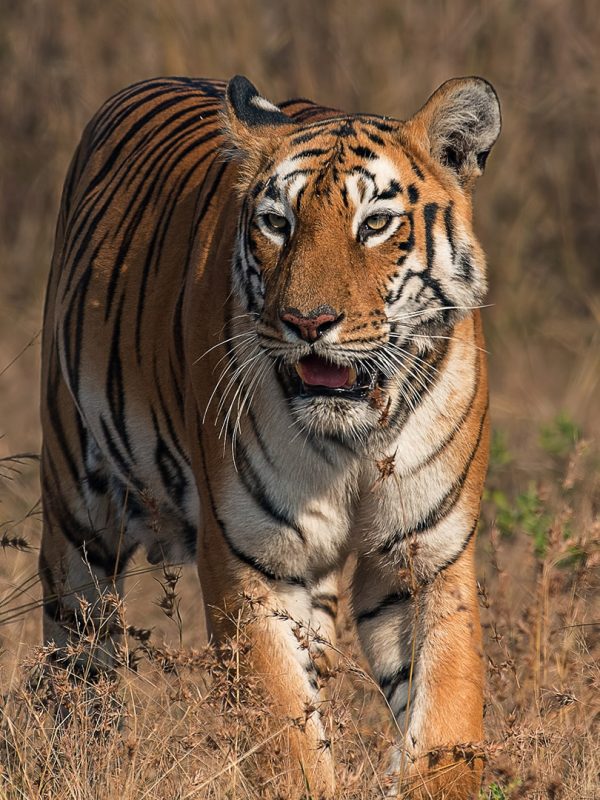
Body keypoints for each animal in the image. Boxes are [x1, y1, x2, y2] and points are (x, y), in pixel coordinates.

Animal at [40, 73, 500, 798]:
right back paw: (79, 760)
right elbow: (286, 739)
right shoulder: (250, 563)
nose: (308, 322)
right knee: (78, 660)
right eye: (277, 223)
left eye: (375, 224)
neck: (356, 440)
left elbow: (447, 725)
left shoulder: (427, 557)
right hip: (78, 512)